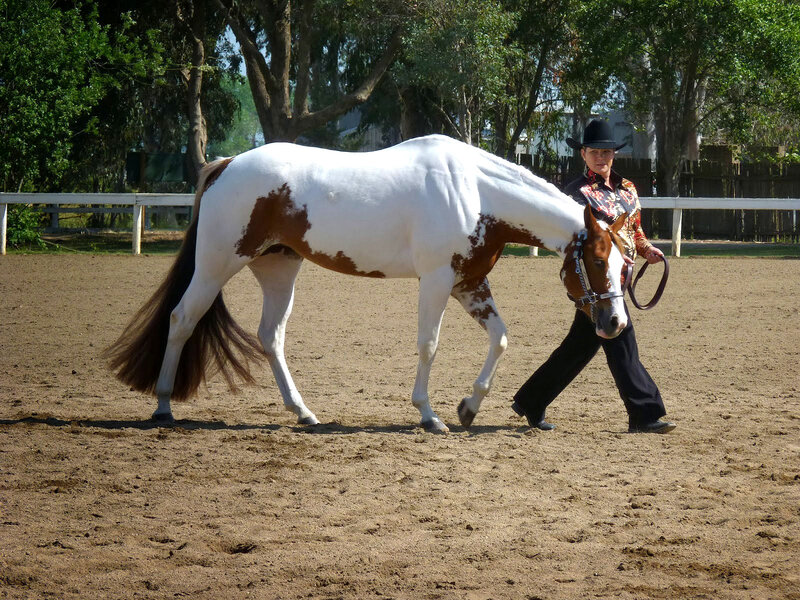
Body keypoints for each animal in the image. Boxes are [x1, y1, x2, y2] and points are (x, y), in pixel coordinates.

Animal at [106, 135, 629, 433]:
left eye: (626, 264)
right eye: (597, 258)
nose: (615, 323)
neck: (476, 191)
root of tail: (227, 164)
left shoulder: (470, 282)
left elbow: (500, 339)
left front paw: (468, 408)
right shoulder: (437, 280)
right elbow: (428, 345)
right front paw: (429, 414)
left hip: (278, 269)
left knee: (270, 336)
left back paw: (304, 413)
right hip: (217, 263)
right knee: (182, 318)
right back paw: (163, 406)